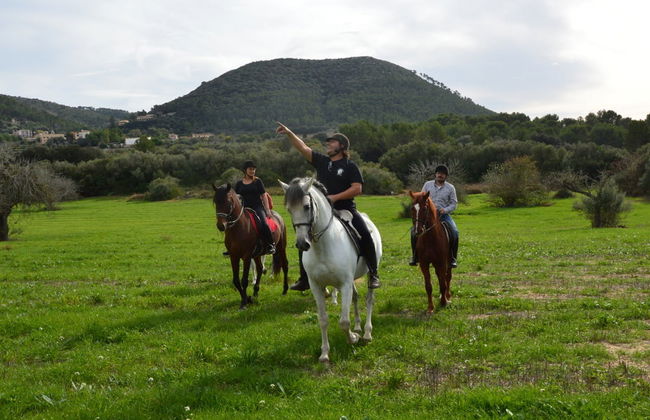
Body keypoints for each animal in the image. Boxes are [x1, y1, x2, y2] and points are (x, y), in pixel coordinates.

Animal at [280, 177, 382, 363]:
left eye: (307, 206)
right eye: (289, 209)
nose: (302, 244)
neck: (323, 246)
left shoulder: (344, 284)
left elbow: (344, 322)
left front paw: (352, 339)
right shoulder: (317, 287)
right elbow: (323, 320)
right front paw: (325, 353)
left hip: (369, 274)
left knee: (369, 299)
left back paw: (366, 333)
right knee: (356, 297)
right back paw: (358, 326)